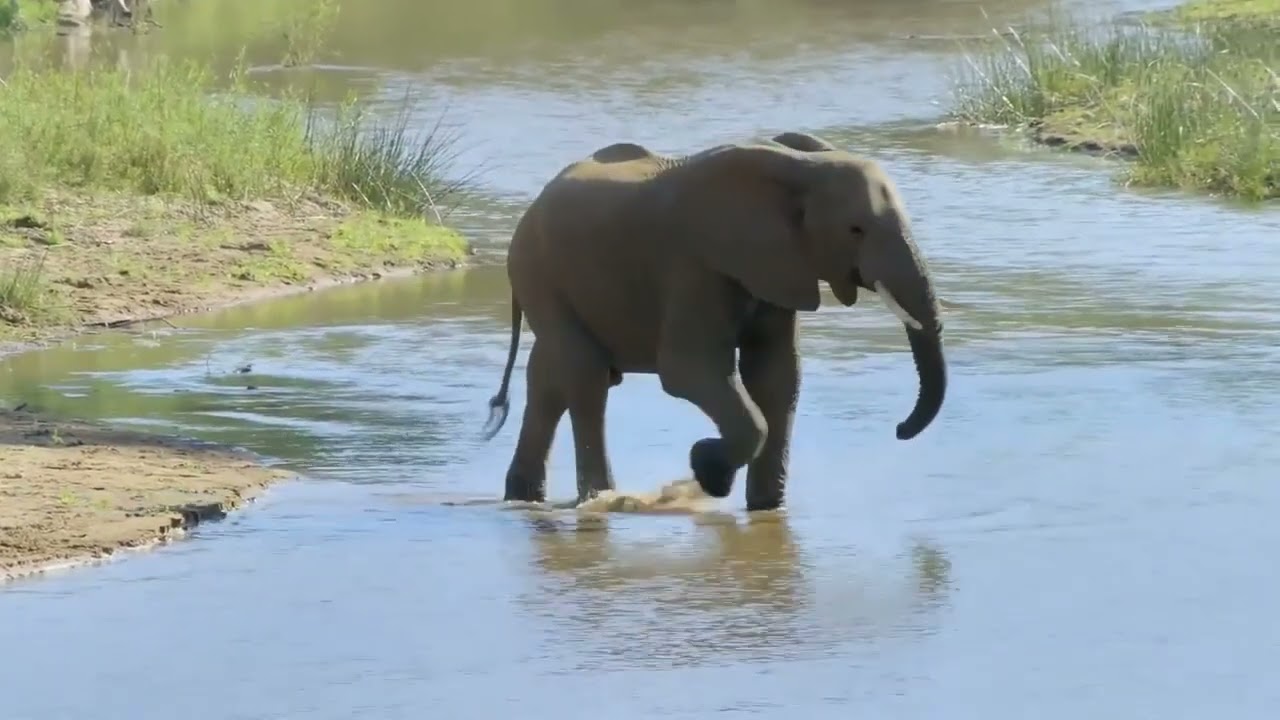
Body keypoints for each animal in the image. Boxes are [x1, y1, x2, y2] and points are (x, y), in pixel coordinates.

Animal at [480, 130, 947, 510]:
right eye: (855, 230)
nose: (900, 429)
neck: (799, 167)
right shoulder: (695, 265)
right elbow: (689, 370)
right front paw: (706, 470)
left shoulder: (776, 264)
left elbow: (776, 374)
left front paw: (764, 506)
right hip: (539, 273)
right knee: (586, 377)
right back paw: (600, 499)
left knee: (549, 378)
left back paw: (525, 496)